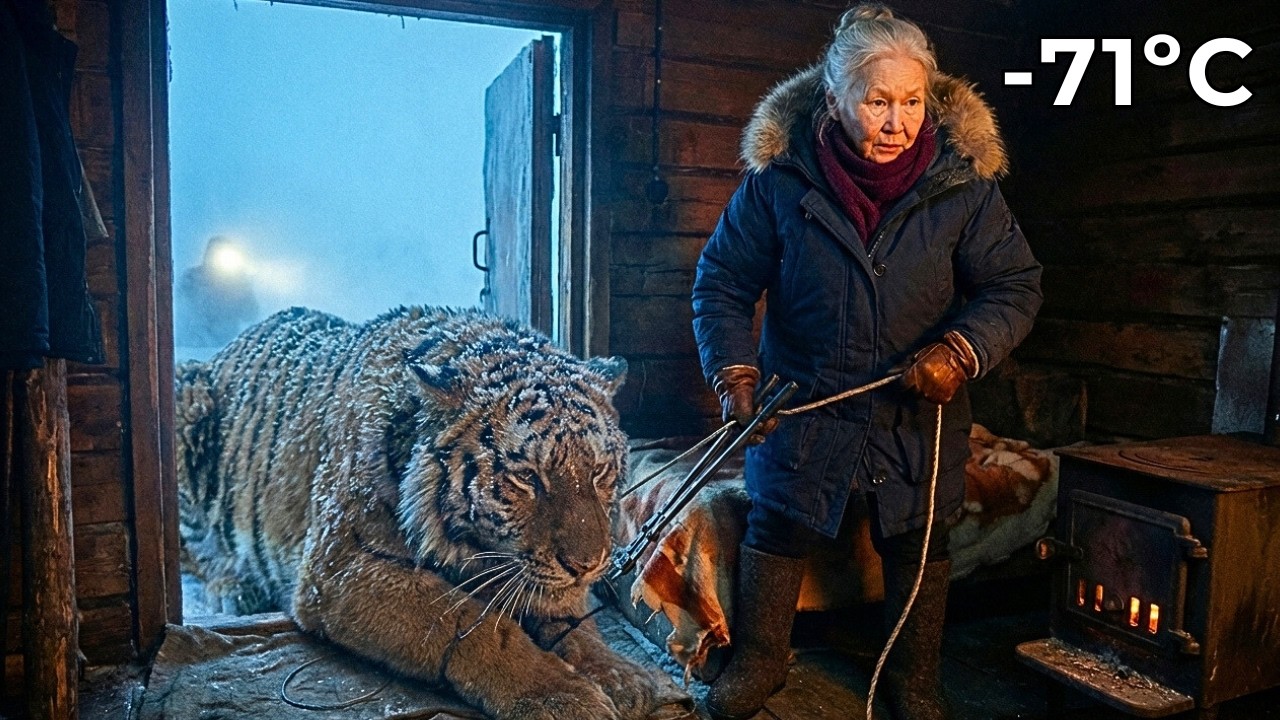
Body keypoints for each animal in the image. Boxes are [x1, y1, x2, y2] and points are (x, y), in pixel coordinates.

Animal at [175, 305, 660, 720]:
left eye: (598, 471)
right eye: (526, 477)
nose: (587, 565)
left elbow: (575, 621)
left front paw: (626, 678)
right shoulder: (337, 568)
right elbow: (467, 620)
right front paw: (560, 696)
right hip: (187, 399)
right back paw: (234, 586)